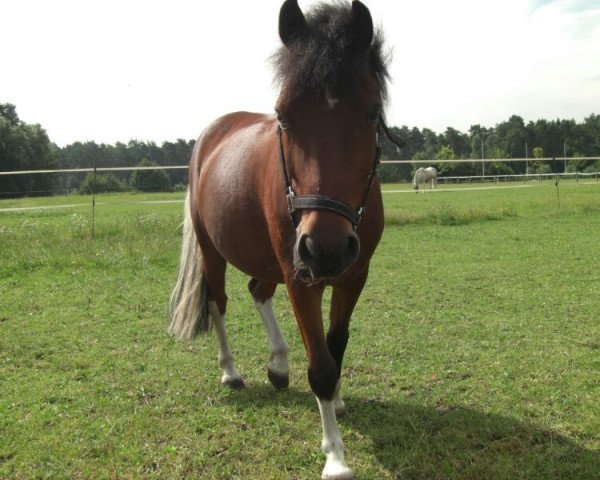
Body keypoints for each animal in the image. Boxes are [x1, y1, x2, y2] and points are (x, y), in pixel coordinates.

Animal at [169, 1, 404, 478]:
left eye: (372, 113)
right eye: (282, 116)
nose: (326, 248)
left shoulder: (354, 276)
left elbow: (335, 346)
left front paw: (337, 401)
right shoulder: (301, 278)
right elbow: (320, 366)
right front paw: (335, 457)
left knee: (257, 289)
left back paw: (278, 365)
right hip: (214, 249)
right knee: (218, 302)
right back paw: (231, 373)